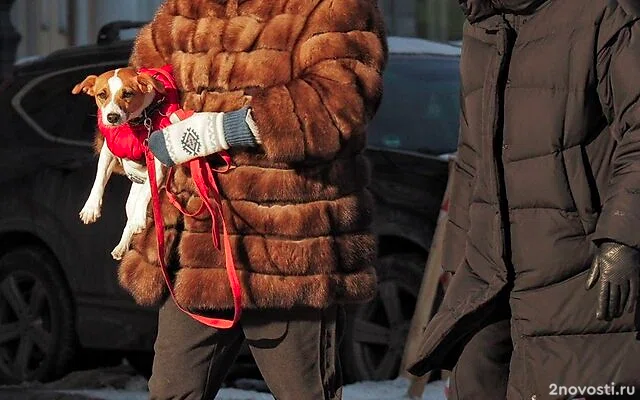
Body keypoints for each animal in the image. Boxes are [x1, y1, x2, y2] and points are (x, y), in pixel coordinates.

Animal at [72, 66, 178, 260]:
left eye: (128, 94)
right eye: (102, 94)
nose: (112, 117)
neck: (137, 123)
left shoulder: (157, 166)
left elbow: (146, 193)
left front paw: (138, 219)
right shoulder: (108, 152)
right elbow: (99, 179)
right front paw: (91, 207)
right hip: (130, 200)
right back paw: (122, 245)